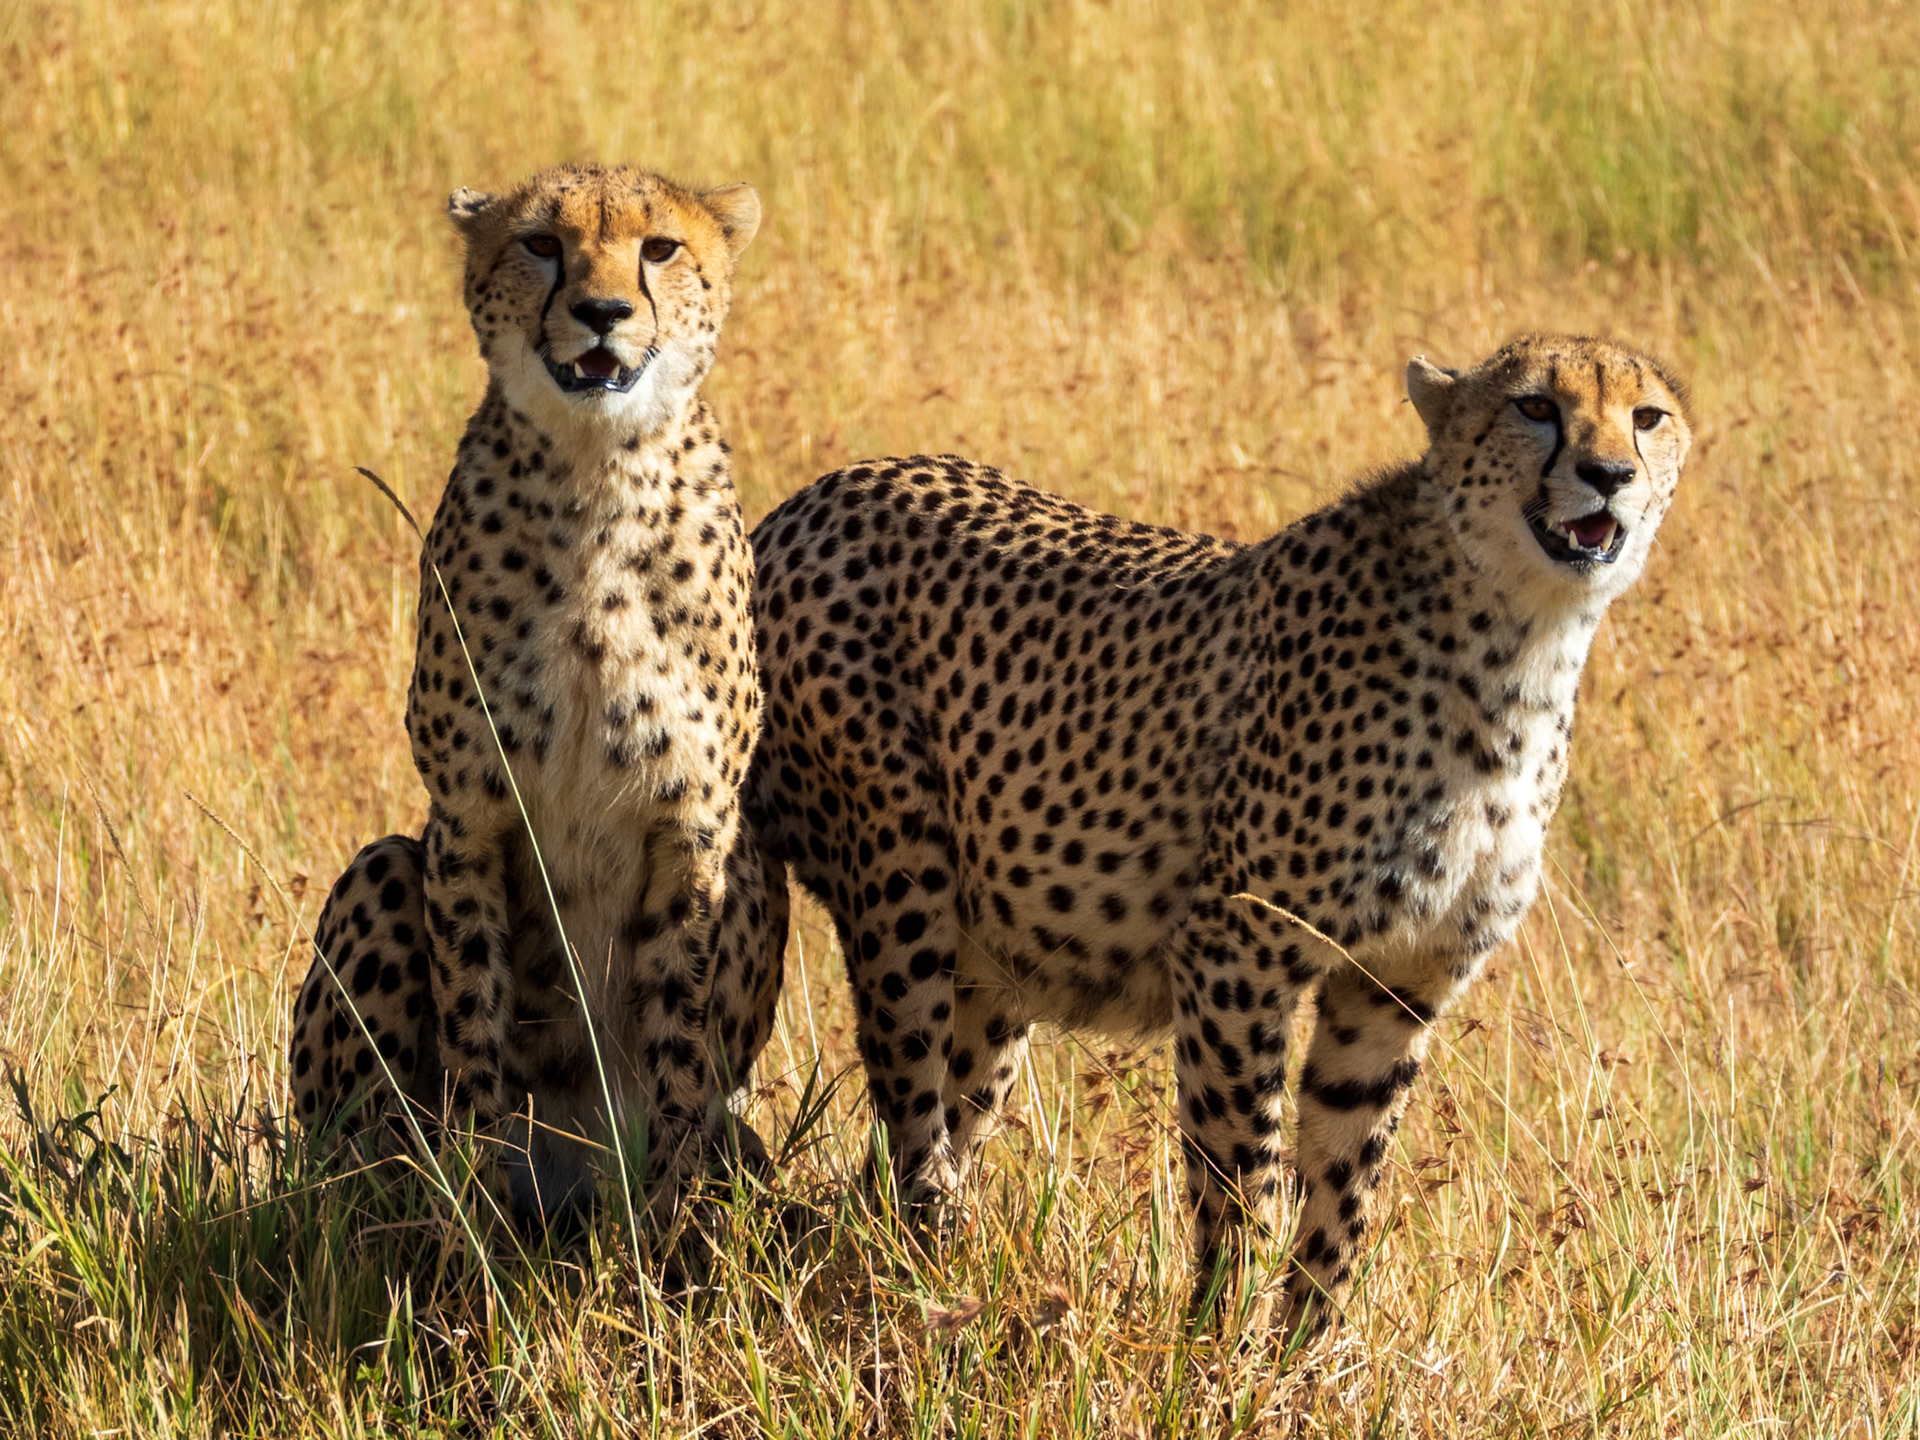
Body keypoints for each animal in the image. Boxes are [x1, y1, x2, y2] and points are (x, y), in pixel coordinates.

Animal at [288, 164, 787, 1233]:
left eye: (659, 248)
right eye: (542, 245)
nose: (602, 313)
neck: (599, 475)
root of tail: (569, 1181)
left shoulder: (695, 821)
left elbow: (678, 1045)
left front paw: (673, 1236)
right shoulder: (469, 811)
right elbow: (473, 1025)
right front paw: (463, 1236)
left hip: (753, 863)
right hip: (388, 867)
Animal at [746, 333, 1690, 1335]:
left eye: (1647, 417)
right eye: (1536, 407)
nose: (1609, 475)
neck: (1522, 640)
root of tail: (813, 496)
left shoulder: (1395, 985)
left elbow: (1343, 1189)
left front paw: (1309, 1352)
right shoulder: (1236, 949)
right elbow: (1243, 1177)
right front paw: (1221, 1340)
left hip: (993, 962)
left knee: (928, 1130)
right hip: (900, 884)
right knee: (910, 1116)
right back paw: (922, 1289)